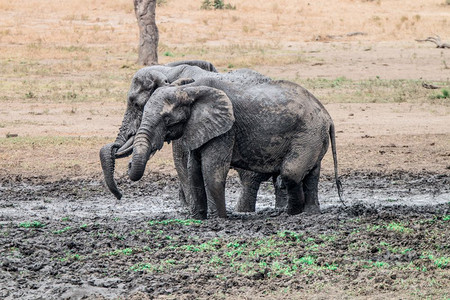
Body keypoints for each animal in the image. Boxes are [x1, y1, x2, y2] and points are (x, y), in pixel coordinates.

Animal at [100, 60, 286, 211]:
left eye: (136, 104)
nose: (119, 196)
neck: (167, 70)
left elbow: (181, 161)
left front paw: (190, 208)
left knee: (249, 179)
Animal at [125, 72, 342, 218]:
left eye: (167, 119)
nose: (128, 166)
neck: (190, 90)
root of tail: (327, 115)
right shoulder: (200, 128)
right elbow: (194, 171)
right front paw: (198, 219)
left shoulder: (226, 130)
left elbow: (212, 172)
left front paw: (221, 219)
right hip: (313, 136)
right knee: (311, 173)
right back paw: (310, 213)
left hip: (308, 134)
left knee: (291, 173)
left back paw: (290, 214)